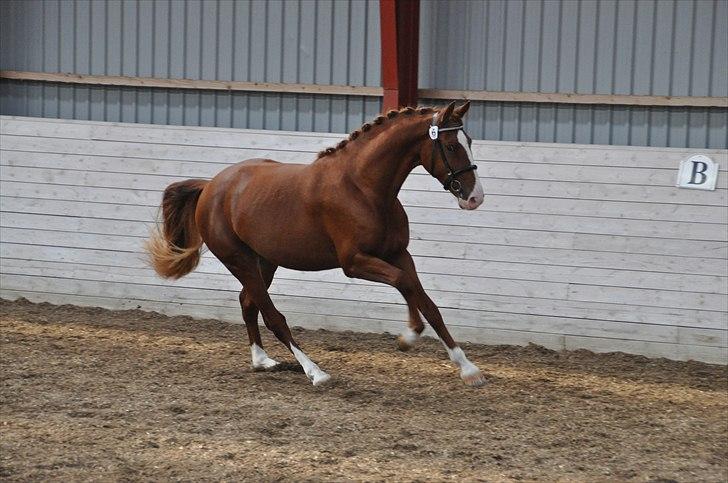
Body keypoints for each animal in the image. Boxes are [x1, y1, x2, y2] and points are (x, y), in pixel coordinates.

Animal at [145, 100, 486, 388]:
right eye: (452, 146)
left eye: (470, 142)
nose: (475, 198)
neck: (363, 188)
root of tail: (210, 187)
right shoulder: (355, 262)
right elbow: (404, 283)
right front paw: (410, 335)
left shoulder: (399, 254)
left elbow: (425, 301)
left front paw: (468, 369)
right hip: (239, 261)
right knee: (272, 316)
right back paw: (315, 372)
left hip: (264, 262)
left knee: (247, 303)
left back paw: (262, 361)